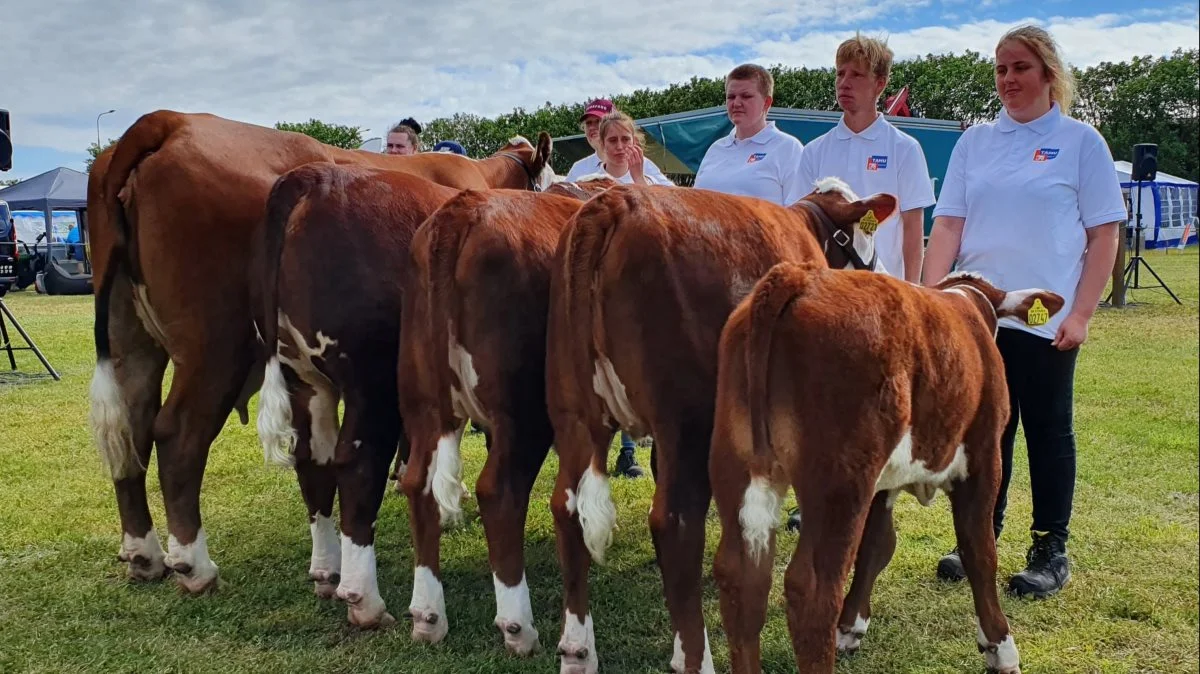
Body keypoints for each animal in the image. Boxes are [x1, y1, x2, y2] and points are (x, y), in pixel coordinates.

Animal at [87, 111, 552, 592]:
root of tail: (171, 121)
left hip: (131, 338)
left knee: (131, 430)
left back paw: (144, 553)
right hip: (217, 347)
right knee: (178, 436)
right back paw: (195, 565)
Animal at [544, 176, 892, 666]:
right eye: (867, 236)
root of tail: (614, 203)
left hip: (572, 411)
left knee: (567, 507)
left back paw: (577, 650)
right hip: (685, 418)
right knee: (674, 523)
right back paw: (695, 657)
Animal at [705, 261, 1065, 671]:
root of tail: (802, 275)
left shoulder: (885, 480)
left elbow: (876, 544)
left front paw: (851, 627)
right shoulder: (985, 457)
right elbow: (980, 551)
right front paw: (1000, 647)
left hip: (739, 466)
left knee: (741, 579)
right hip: (841, 481)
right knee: (812, 592)